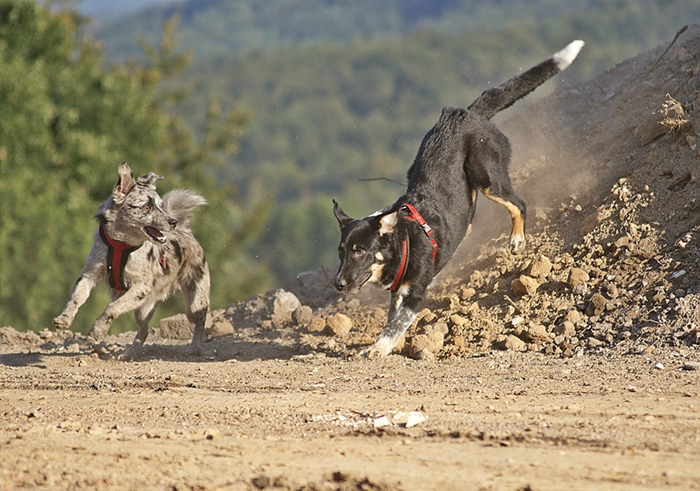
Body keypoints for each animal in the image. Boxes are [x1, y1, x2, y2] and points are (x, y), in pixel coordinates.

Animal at [53, 163, 209, 360]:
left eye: (161, 206)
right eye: (146, 207)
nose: (172, 221)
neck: (121, 244)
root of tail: (186, 230)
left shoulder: (140, 287)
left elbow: (112, 308)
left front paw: (97, 330)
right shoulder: (88, 275)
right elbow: (75, 299)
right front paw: (64, 318)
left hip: (194, 300)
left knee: (200, 322)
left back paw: (195, 347)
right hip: (143, 310)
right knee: (144, 331)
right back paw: (128, 354)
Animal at [330, 39, 584, 358]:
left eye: (360, 251)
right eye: (341, 252)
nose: (338, 284)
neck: (404, 240)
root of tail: (465, 113)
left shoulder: (415, 296)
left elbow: (395, 325)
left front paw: (377, 349)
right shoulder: (399, 295)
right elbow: (394, 321)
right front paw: (389, 344)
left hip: (485, 174)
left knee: (518, 204)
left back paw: (516, 238)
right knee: (470, 215)